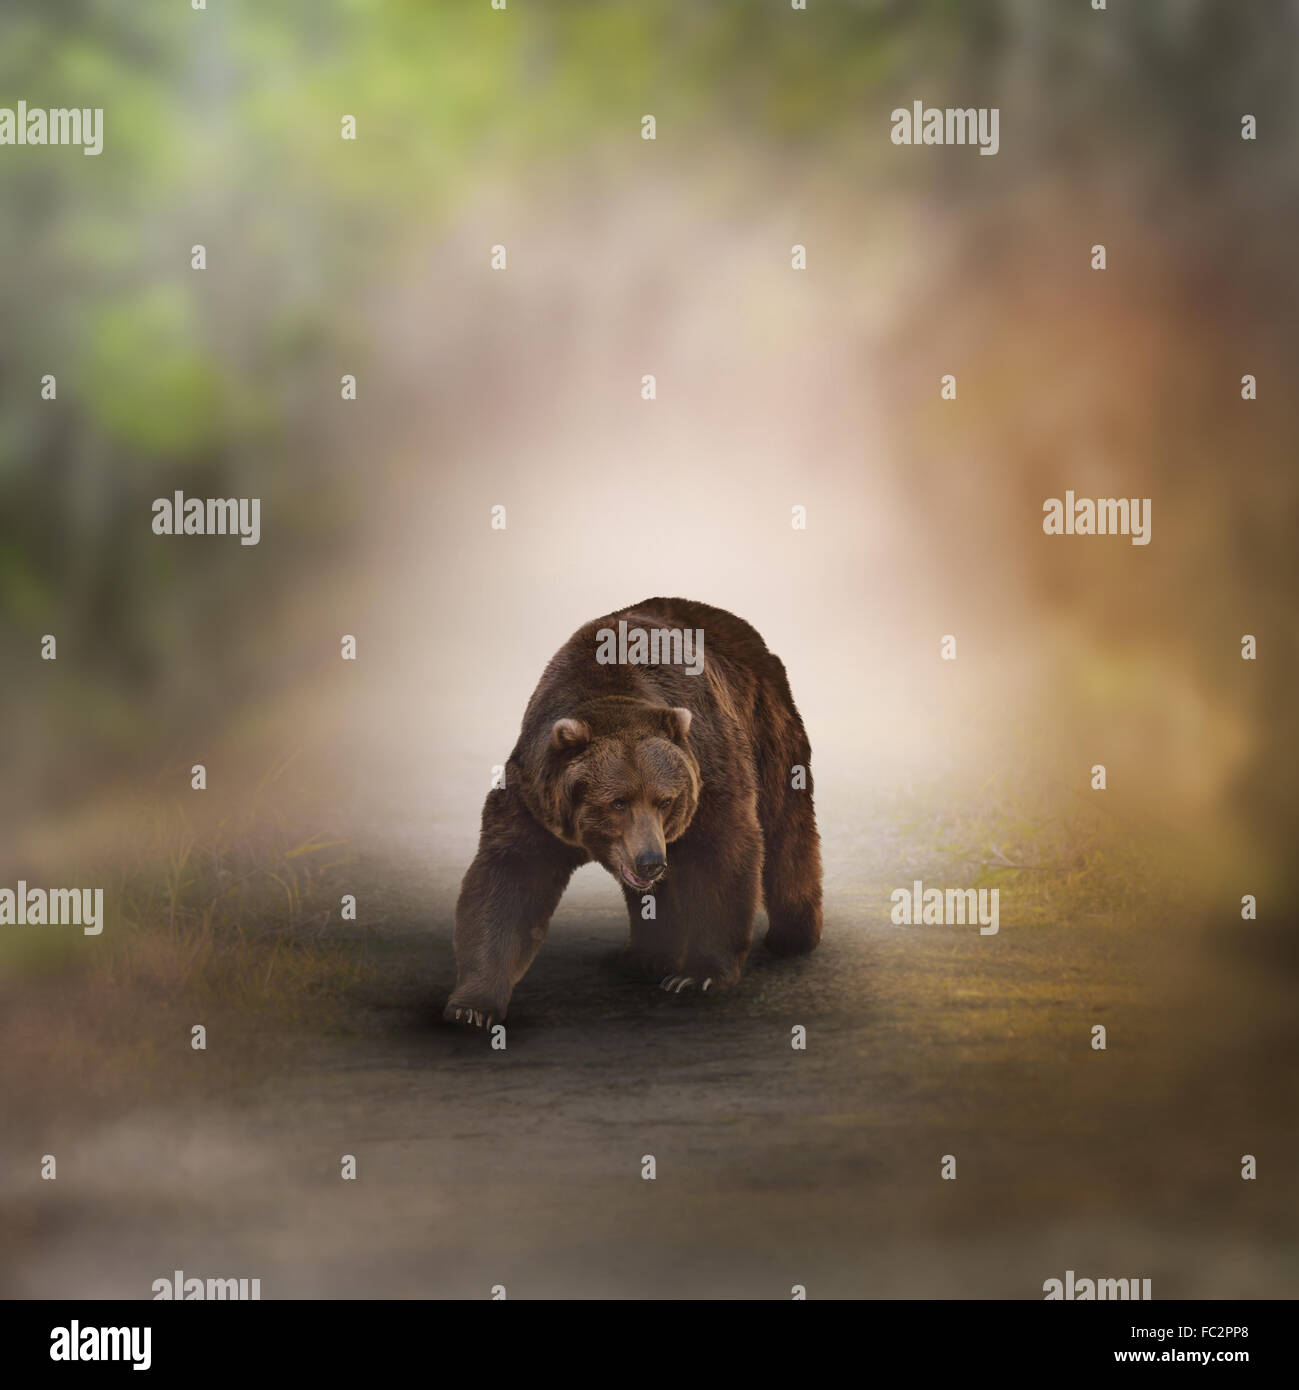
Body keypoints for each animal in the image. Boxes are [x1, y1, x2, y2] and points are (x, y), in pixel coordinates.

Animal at [444, 597, 822, 1027]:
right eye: (617, 802)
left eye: (666, 800)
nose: (651, 861)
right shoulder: (536, 800)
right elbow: (509, 880)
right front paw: (472, 1006)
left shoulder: (708, 768)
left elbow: (720, 855)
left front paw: (697, 976)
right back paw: (644, 956)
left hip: (767, 729)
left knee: (786, 831)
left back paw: (793, 936)